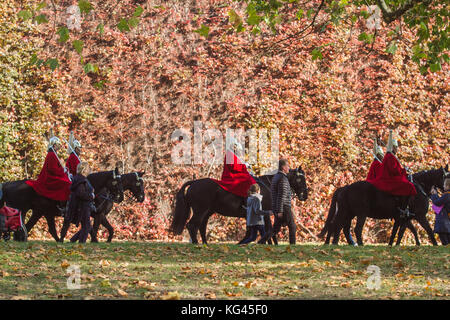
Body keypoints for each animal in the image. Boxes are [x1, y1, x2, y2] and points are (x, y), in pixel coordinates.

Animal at [171, 166, 308, 244]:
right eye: (300, 179)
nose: (305, 195)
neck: (268, 186)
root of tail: (194, 182)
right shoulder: (265, 214)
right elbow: (268, 230)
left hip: (207, 212)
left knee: (201, 226)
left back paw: (205, 243)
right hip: (200, 211)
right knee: (191, 225)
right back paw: (196, 243)